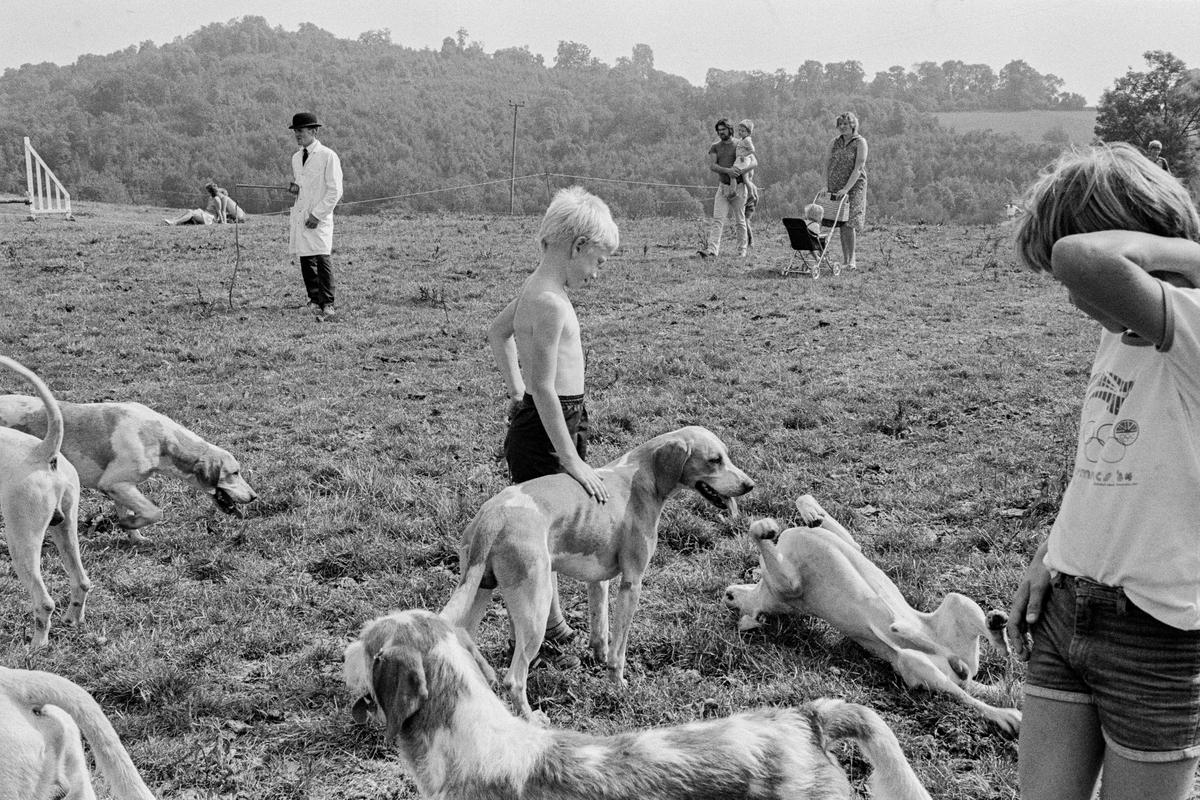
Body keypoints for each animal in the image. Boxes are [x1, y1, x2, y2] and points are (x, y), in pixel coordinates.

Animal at [446, 424, 753, 719]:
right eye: (714, 460)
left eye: (726, 455)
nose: (750, 485)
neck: (641, 476)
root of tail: (493, 515)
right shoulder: (632, 584)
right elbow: (620, 649)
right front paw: (618, 684)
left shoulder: (598, 581)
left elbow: (601, 630)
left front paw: (598, 658)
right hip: (536, 608)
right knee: (514, 680)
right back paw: (531, 719)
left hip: (479, 594)